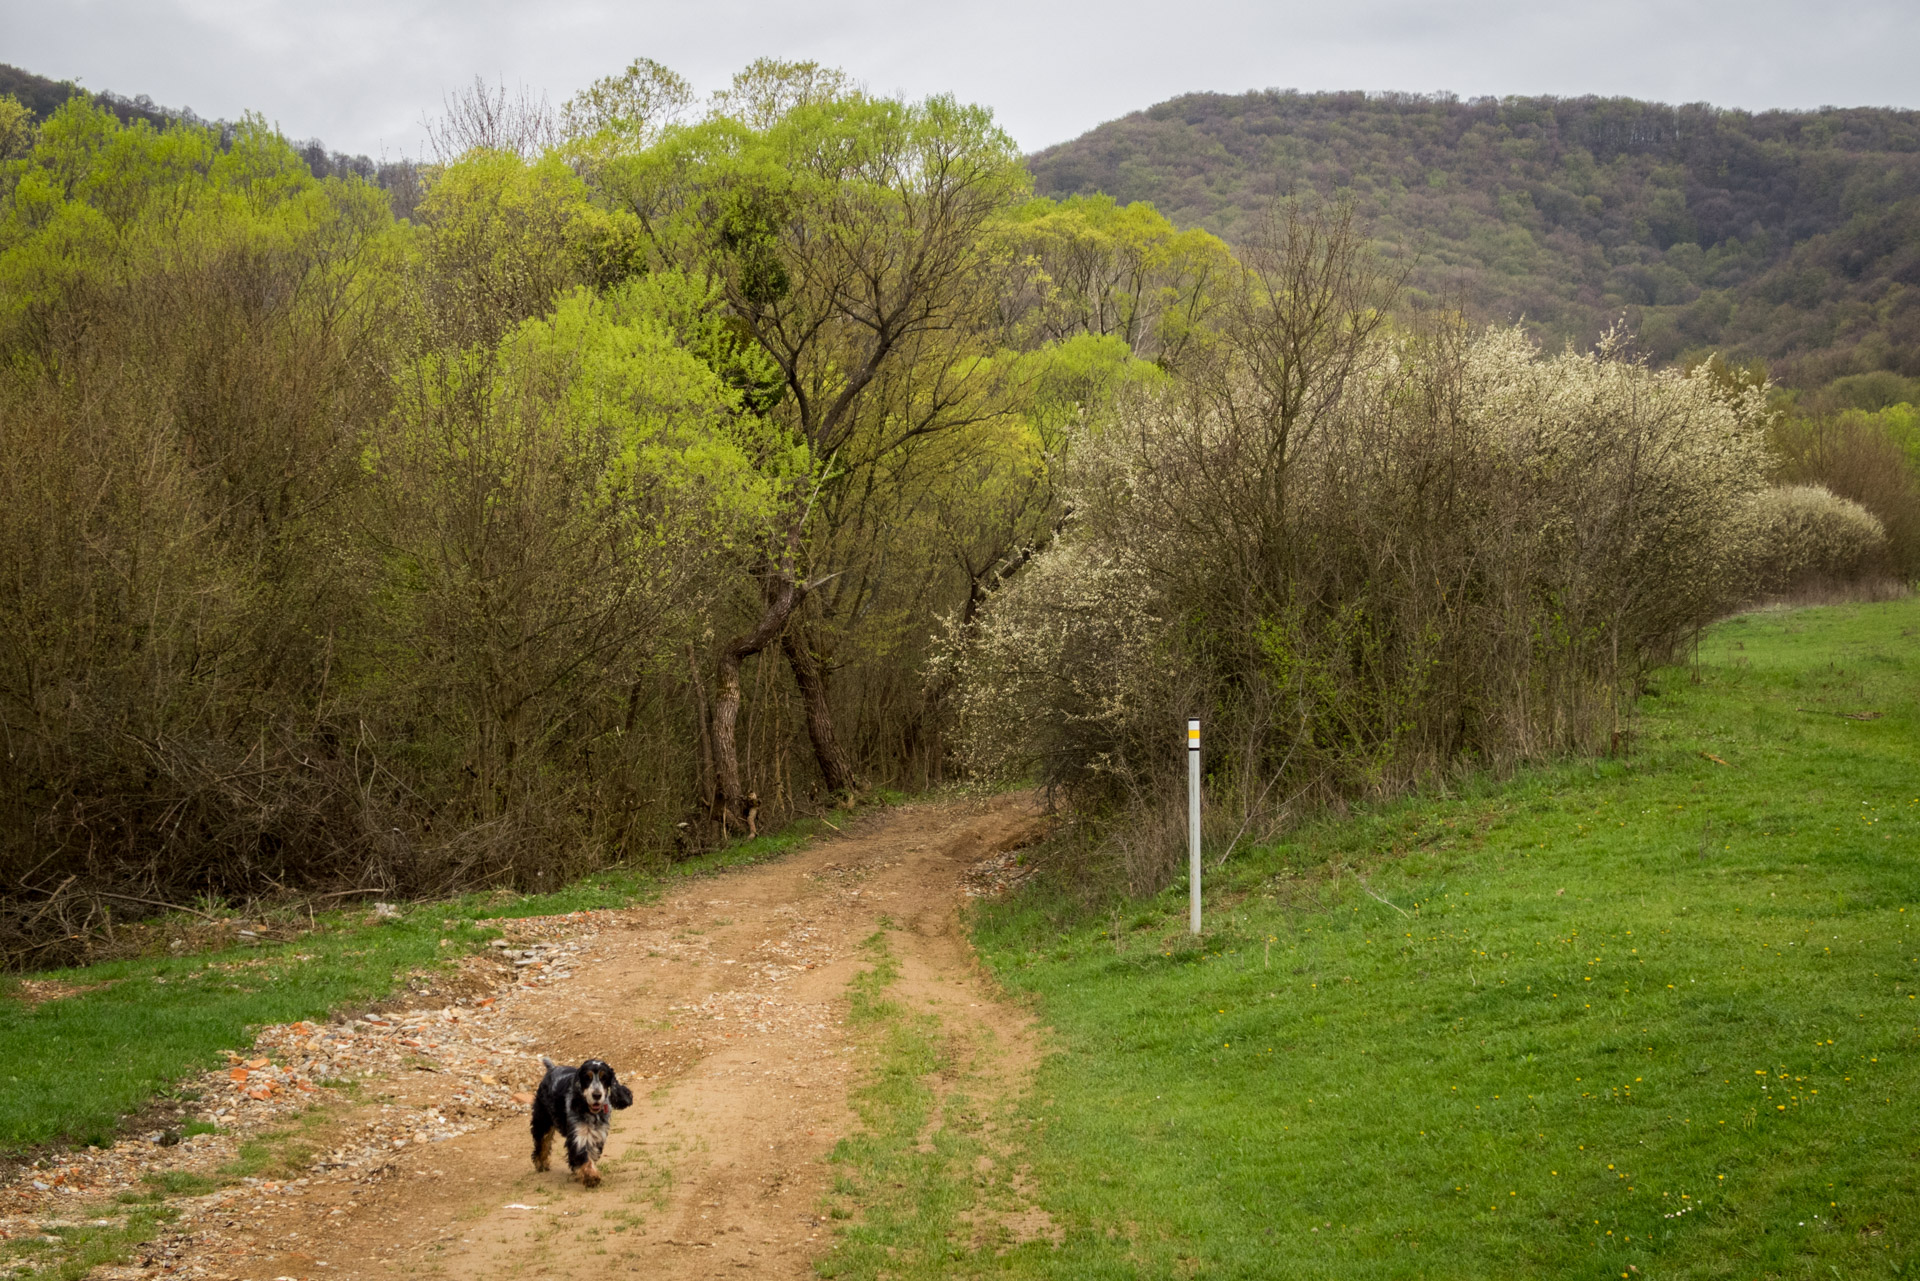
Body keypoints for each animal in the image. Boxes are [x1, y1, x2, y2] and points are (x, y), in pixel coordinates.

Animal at [529, 1060, 633, 1190]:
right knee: (542, 1143)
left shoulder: (597, 1135)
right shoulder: (579, 1135)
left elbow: (590, 1155)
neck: (591, 1112)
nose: (597, 1095)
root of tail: (552, 1069)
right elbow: (584, 1157)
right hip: (543, 1121)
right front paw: (591, 1178)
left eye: (604, 1078)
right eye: (587, 1078)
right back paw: (541, 1164)